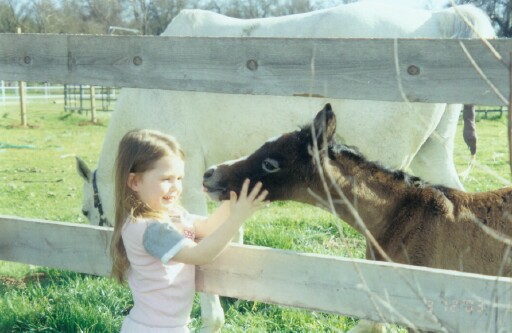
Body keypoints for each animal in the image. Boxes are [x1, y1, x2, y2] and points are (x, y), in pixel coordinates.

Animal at [77, 1, 496, 330]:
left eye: (85, 211)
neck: (152, 87)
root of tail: (436, 21)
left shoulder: (190, 175)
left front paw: (213, 316)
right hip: (434, 154)